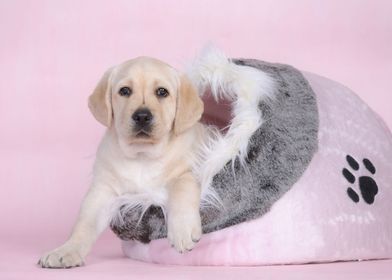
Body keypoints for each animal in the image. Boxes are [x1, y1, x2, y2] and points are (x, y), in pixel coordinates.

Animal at [37, 57, 205, 270]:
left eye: (162, 92)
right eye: (125, 91)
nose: (142, 116)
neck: (142, 156)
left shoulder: (189, 172)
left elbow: (182, 188)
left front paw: (183, 229)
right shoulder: (102, 192)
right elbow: (84, 223)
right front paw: (66, 250)